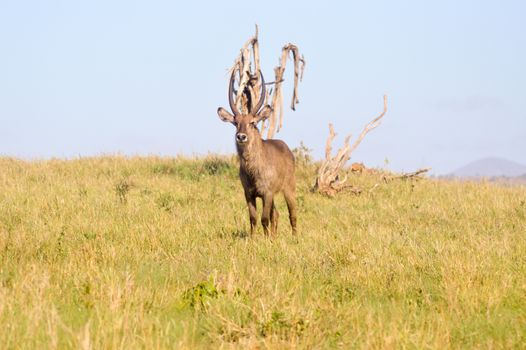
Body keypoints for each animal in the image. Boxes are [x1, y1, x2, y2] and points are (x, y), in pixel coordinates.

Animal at [218, 71, 300, 235]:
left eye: (253, 122)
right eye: (236, 123)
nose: (241, 136)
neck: (253, 170)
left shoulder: (266, 193)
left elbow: (264, 219)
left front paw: (265, 239)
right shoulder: (249, 194)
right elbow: (253, 219)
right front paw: (253, 238)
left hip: (289, 188)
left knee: (292, 213)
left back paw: (295, 237)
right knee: (276, 214)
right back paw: (275, 237)